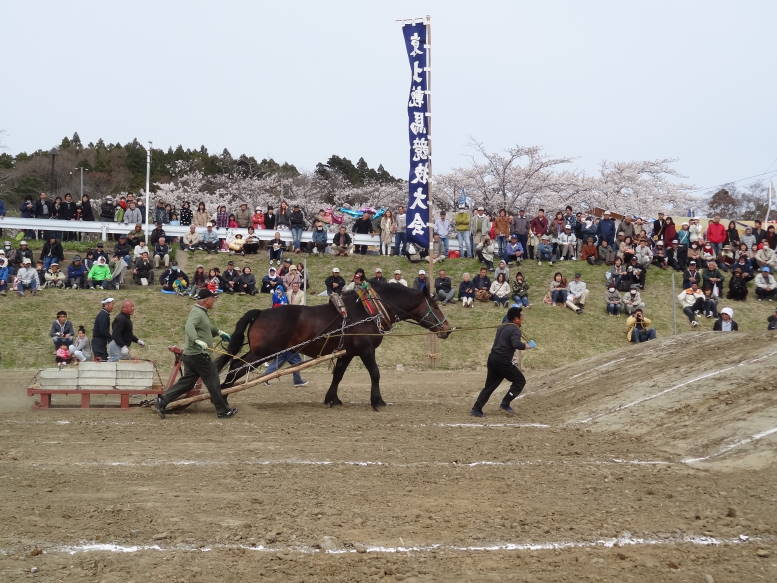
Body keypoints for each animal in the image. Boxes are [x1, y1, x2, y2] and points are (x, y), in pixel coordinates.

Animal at [215, 282, 452, 410]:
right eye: (435, 305)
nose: (447, 329)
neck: (369, 311)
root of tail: (261, 313)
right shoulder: (366, 350)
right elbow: (375, 373)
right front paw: (378, 400)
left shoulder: (348, 352)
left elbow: (338, 375)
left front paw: (332, 399)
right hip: (262, 353)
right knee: (236, 367)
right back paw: (223, 396)